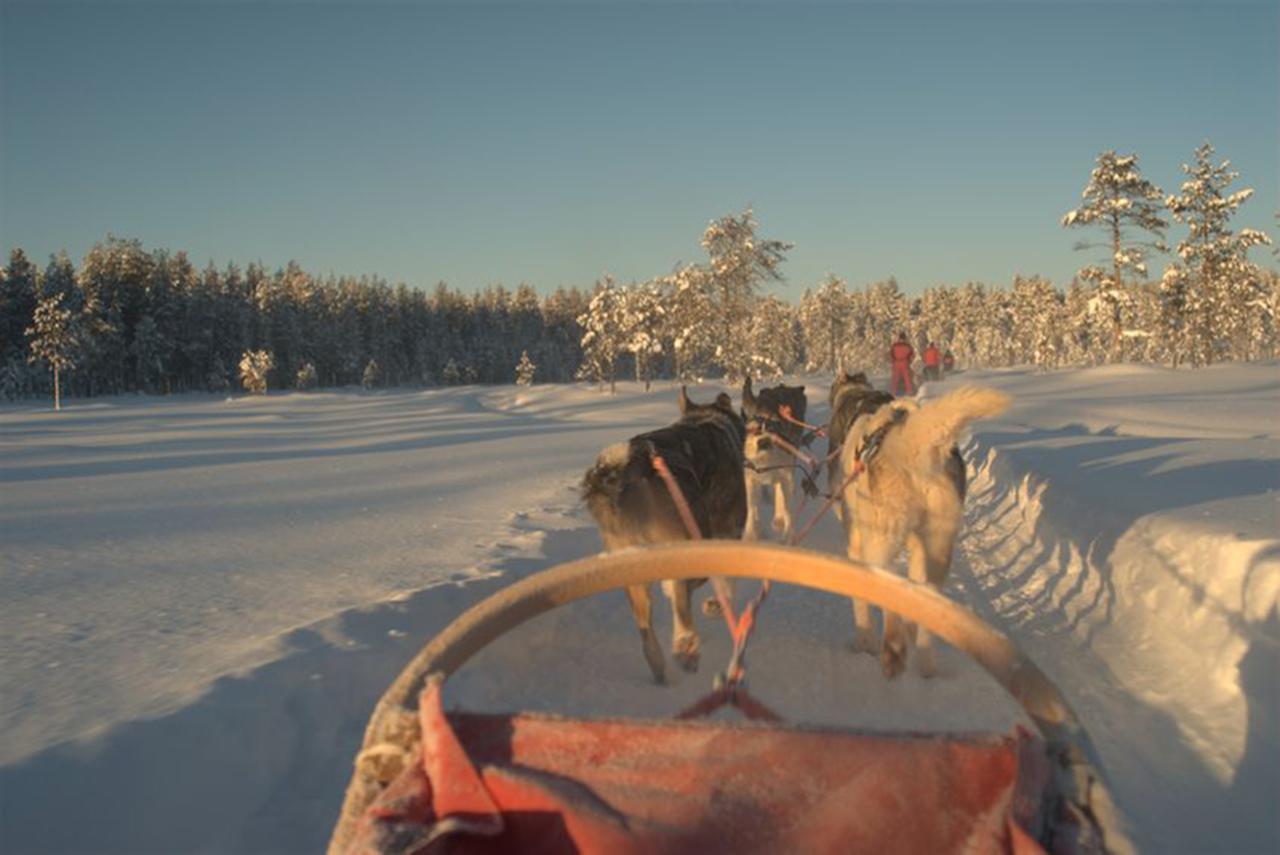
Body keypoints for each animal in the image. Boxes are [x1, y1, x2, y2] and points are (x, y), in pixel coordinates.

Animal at [583, 386, 747, 680]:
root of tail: (625, 471)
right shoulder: (728, 531)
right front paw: (715, 605)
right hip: (691, 540)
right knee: (683, 597)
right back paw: (686, 646)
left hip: (631, 568)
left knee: (647, 630)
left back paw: (660, 664)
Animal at [737, 378, 803, 540]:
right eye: (754, 430)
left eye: (774, 429)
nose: (763, 441)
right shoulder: (750, 479)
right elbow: (752, 509)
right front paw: (750, 535)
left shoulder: (787, 476)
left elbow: (787, 509)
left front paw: (788, 534)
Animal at [839, 383, 1008, 675]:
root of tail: (911, 447)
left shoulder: (856, 543)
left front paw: (864, 641)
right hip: (937, 545)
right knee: (927, 595)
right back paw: (926, 664)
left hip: (879, 540)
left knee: (888, 583)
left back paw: (894, 649)